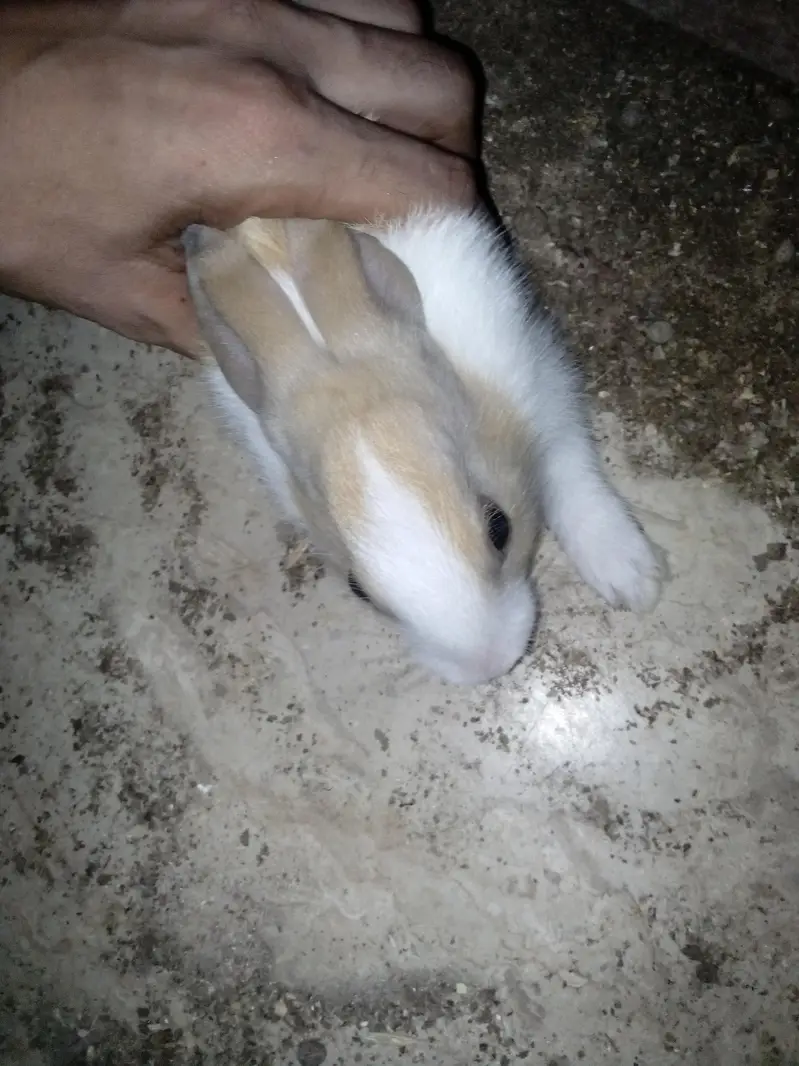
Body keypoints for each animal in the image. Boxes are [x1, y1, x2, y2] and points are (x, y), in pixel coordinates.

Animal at [182, 207, 663, 685]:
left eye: (500, 527)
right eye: (358, 590)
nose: (489, 666)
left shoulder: (544, 390)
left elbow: (569, 475)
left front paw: (633, 579)